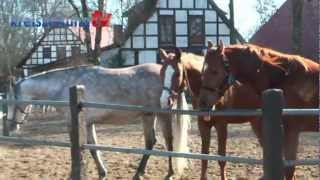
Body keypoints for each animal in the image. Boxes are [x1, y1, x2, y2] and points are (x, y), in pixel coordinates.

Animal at [7, 64, 190, 179]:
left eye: (11, 102)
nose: (11, 127)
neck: (65, 86)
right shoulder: (88, 124)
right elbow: (93, 149)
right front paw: (102, 172)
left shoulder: (73, 125)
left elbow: (77, 149)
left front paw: (74, 174)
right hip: (148, 115)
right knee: (150, 142)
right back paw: (139, 173)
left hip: (162, 115)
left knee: (169, 142)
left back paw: (170, 173)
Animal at [159, 47, 262, 180]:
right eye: (161, 72)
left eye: (177, 73)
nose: (164, 101)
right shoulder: (203, 124)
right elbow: (204, 156)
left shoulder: (221, 125)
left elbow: (222, 158)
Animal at [199, 40, 318, 180]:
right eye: (202, 71)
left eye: (214, 71)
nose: (202, 103)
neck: (286, 79)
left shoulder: (292, 132)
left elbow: (289, 169)